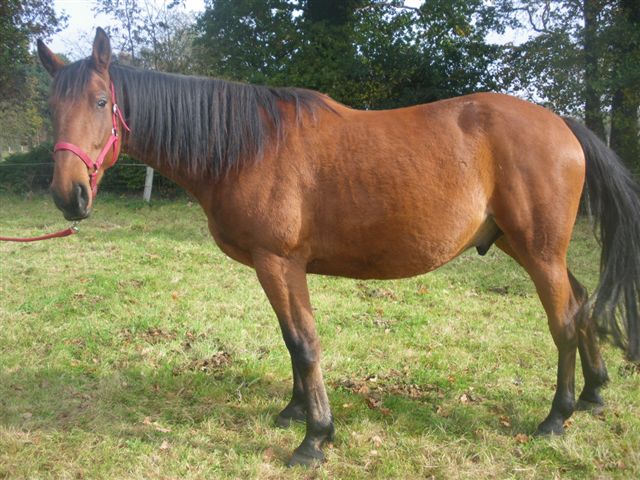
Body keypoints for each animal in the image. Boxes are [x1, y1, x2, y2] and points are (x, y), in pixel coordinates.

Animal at [37, 29, 636, 464]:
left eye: (100, 101)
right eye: (51, 110)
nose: (70, 195)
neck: (247, 147)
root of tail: (561, 123)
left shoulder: (279, 263)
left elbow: (303, 343)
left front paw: (315, 438)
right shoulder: (280, 269)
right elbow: (292, 343)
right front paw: (295, 411)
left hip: (539, 252)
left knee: (563, 320)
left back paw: (556, 417)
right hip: (525, 247)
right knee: (581, 303)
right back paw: (594, 394)